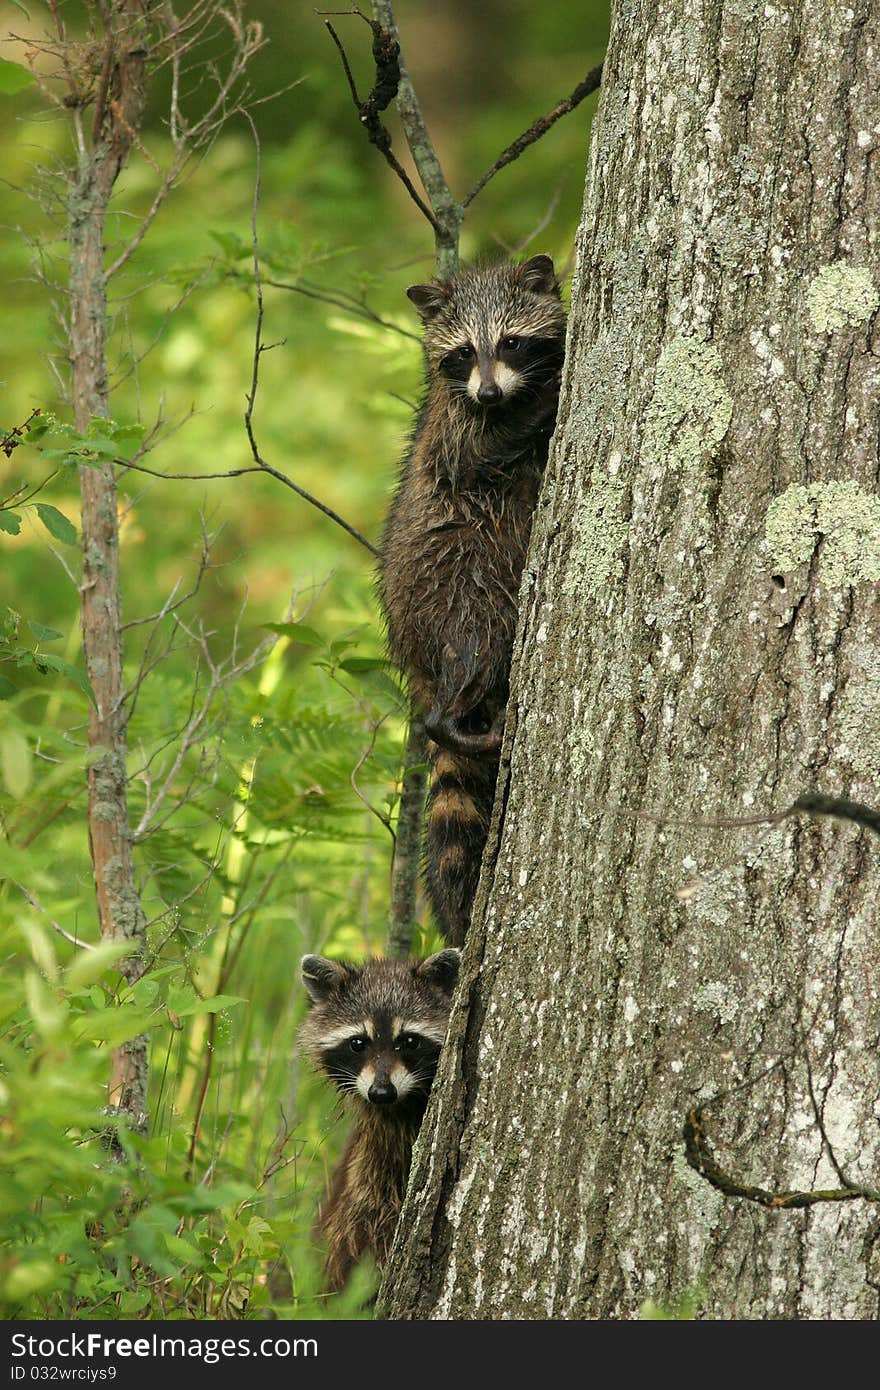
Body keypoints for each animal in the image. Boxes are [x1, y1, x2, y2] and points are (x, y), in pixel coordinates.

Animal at [375, 252, 567, 945]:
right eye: (463, 352)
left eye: (510, 341)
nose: (487, 393)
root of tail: (414, 654)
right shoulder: (459, 432)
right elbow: (485, 451)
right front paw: (550, 397)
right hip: (460, 591)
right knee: (471, 660)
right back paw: (457, 721)